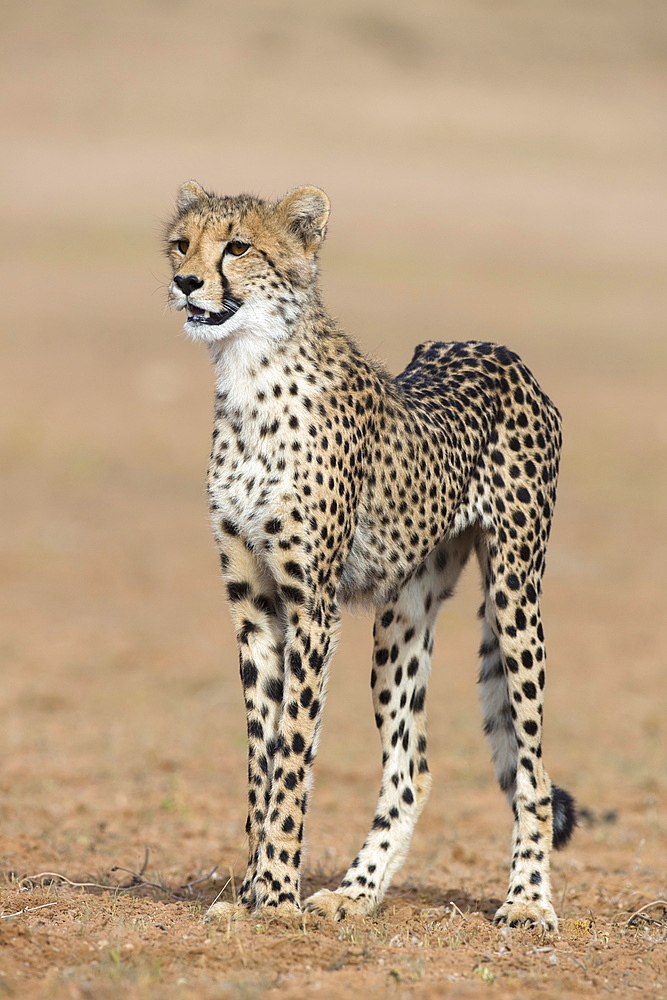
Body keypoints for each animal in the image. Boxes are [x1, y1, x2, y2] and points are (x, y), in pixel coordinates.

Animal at [164, 180, 576, 928]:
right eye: (182, 244)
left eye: (237, 247)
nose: (185, 282)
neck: (249, 372)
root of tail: (495, 347)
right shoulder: (252, 603)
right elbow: (261, 757)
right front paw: (250, 894)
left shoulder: (311, 606)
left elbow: (293, 752)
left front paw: (275, 896)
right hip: (402, 614)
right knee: (411, 767)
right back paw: (357, 891)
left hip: (515, 594)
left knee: (532, 771)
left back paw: (528, 901)